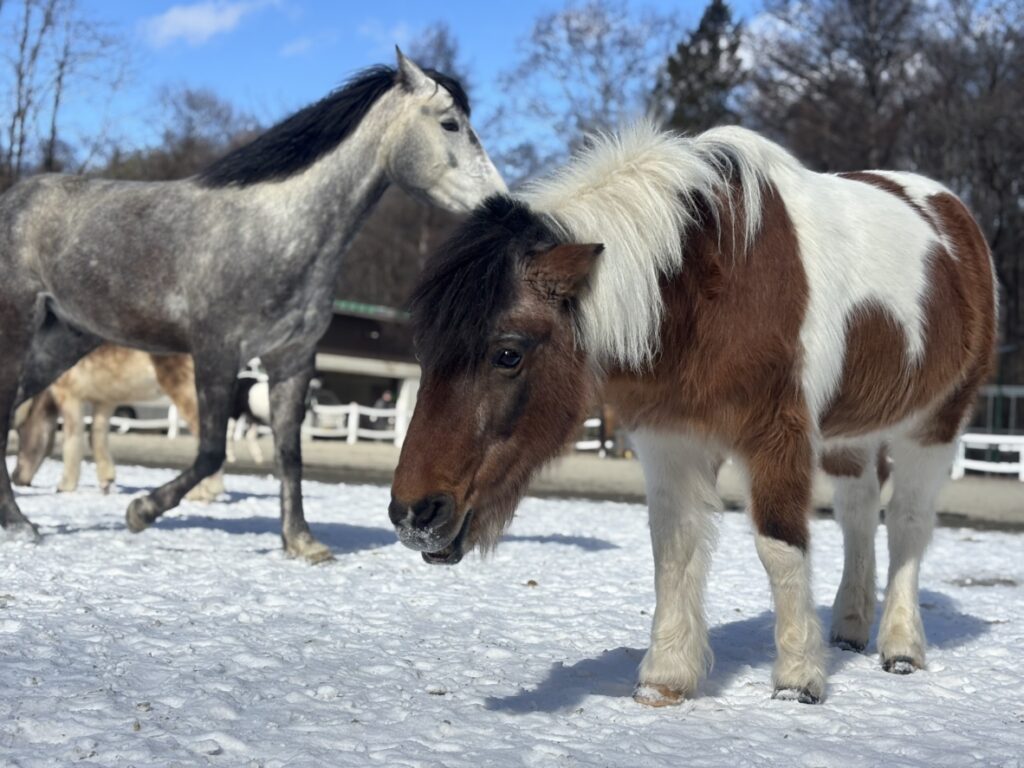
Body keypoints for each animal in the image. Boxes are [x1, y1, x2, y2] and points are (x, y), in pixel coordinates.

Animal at [12, 345, 219, 498]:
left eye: (21, 429)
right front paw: (106, 481)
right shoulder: (105, 401)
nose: (15, 477)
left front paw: (65, 485)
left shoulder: (69, 396)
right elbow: (96, 437)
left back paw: (204, 493)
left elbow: (72, 439)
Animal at [388, 123, 996, 704]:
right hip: (852, 437)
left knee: (907, 526)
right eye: (424, 349)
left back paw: (901, 646)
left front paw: (798, 680)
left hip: (935, 427)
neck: (710, 284)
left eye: (508, 354)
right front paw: (666, 679)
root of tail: (955, 214)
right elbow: (675, 548)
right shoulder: (671, 438)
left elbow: (780, 546)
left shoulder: (778, 437)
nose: (415, 515)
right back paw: (849, 626)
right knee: (859, 512)